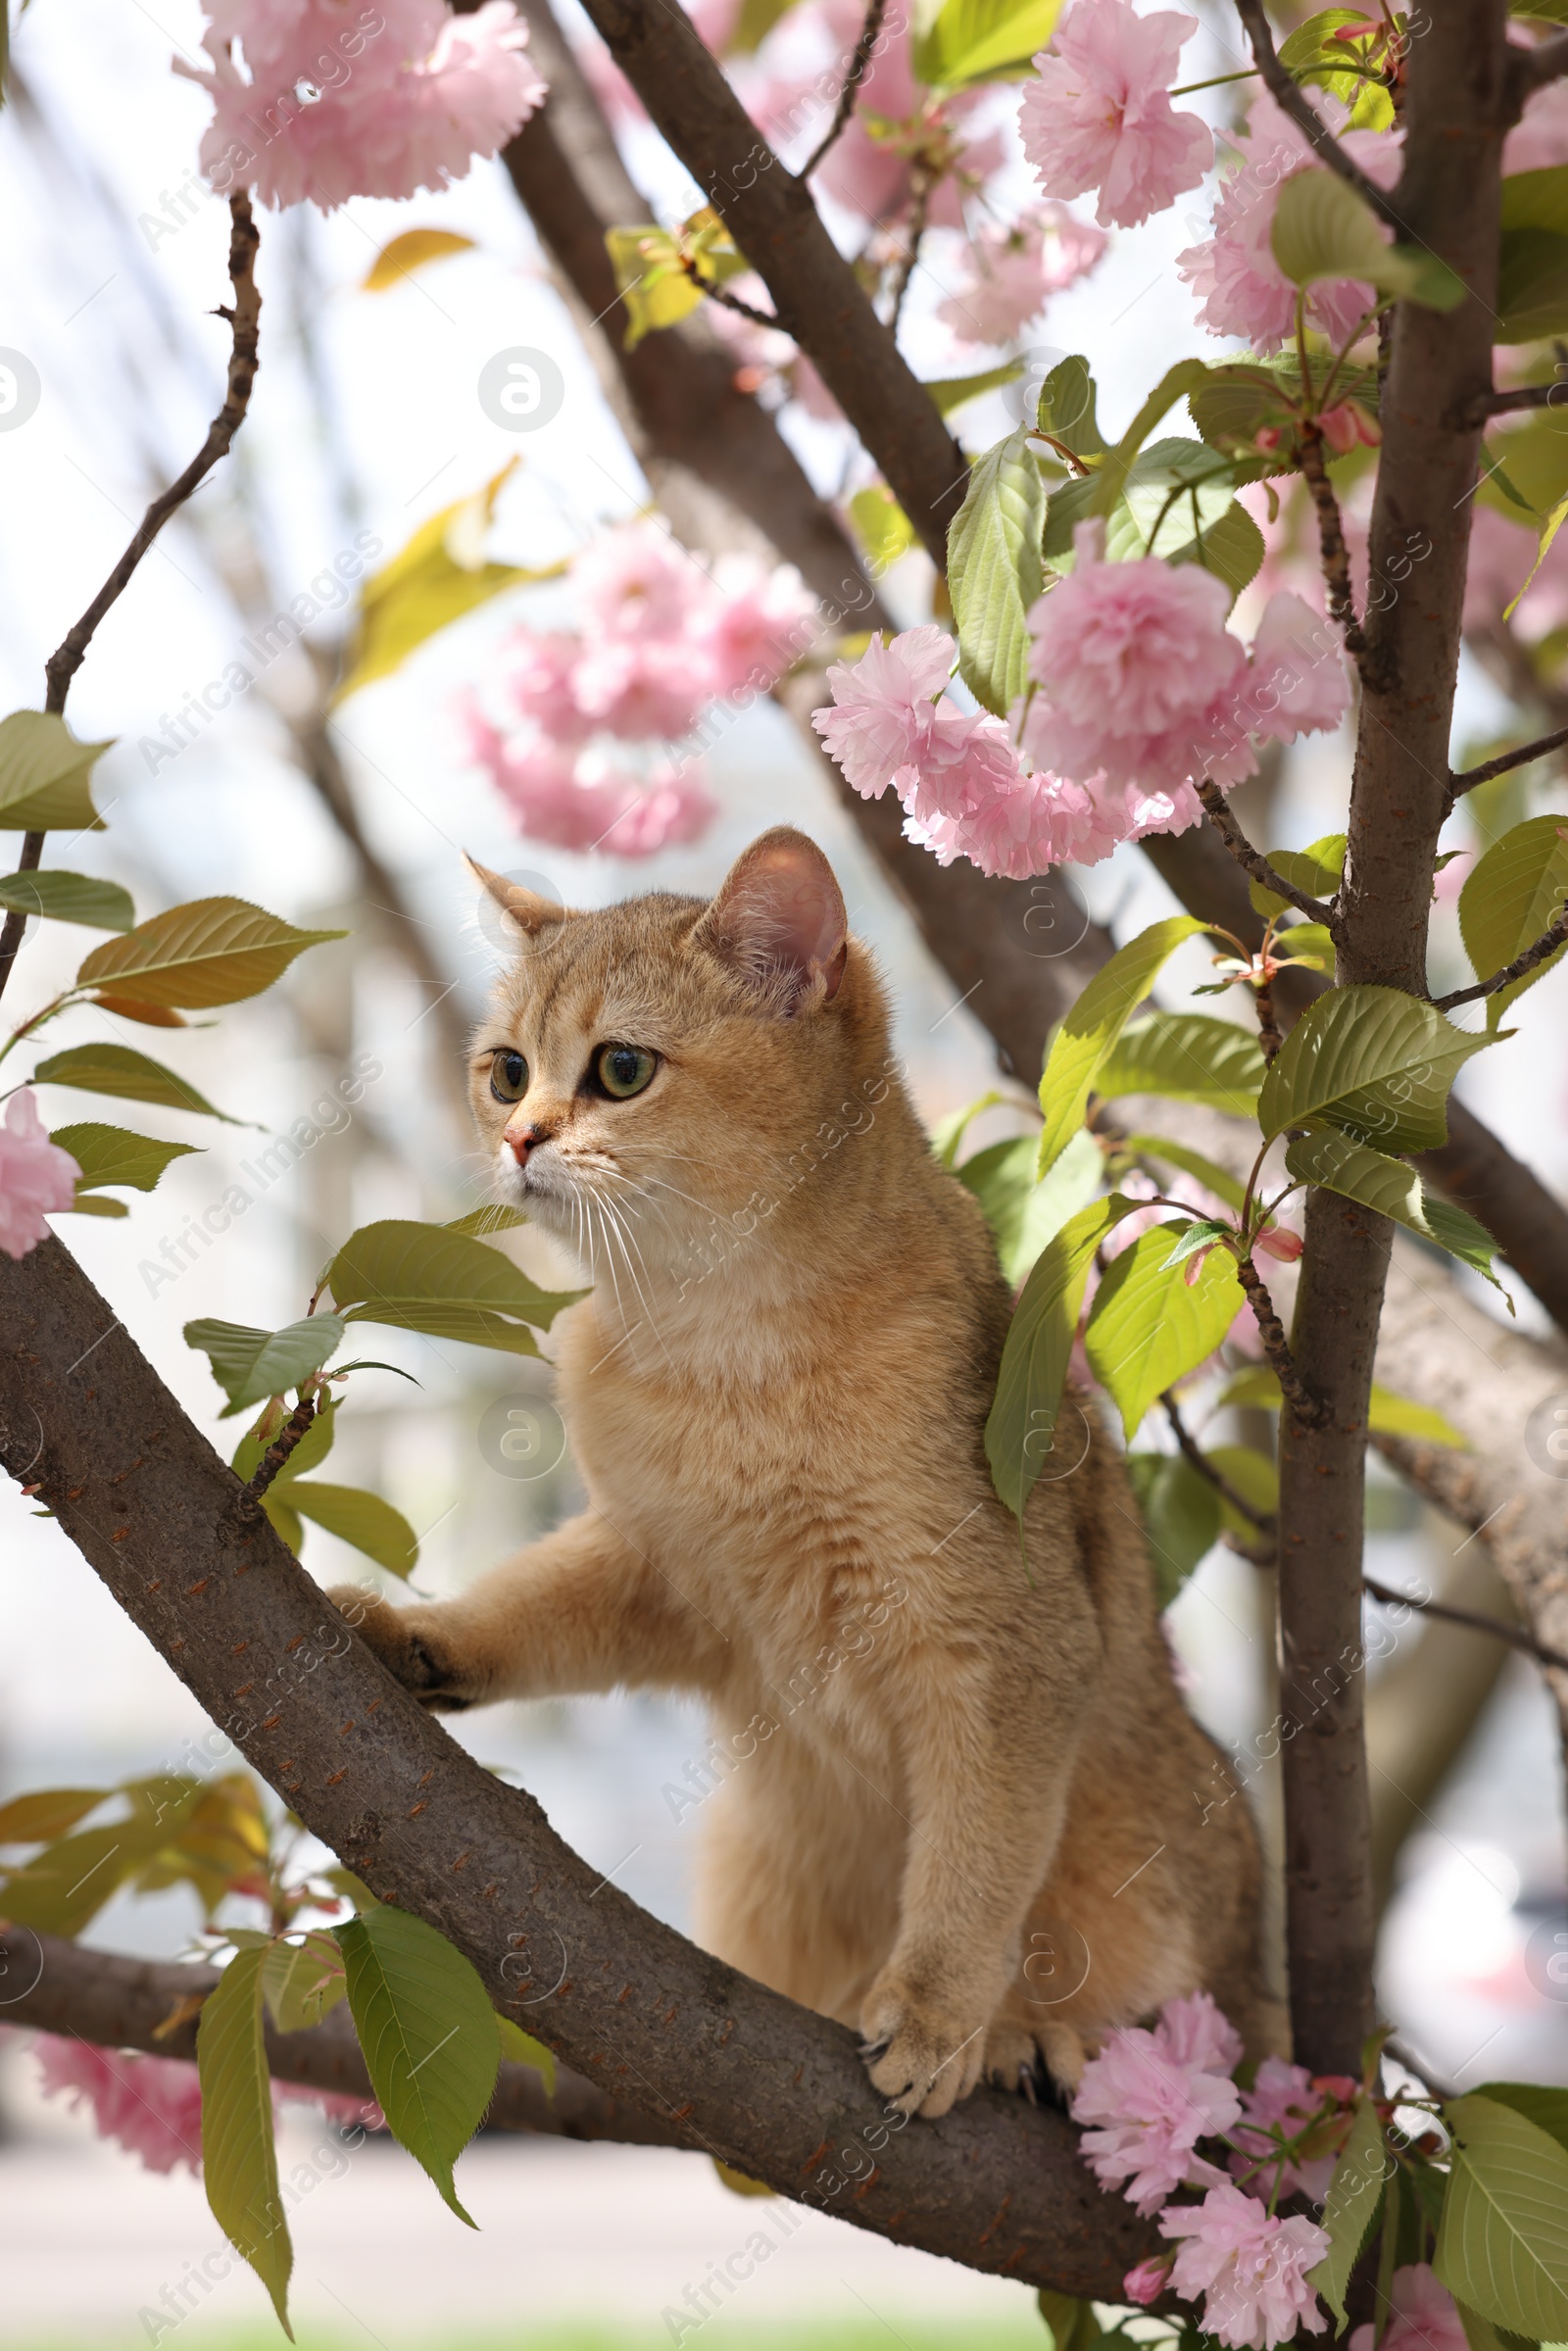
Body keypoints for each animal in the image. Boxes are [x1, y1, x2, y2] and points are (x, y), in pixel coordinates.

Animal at [333, 822, 1288, 2116]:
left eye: (620, 1069)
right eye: (504, 1069)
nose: (518, 1137)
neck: (715, 1351)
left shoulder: (1005, 1648)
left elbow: (975, 1857)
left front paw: (937, 2010)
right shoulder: (661, 1569)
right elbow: (528, 1607)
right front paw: (416, 1631)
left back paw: (1038, 2034)